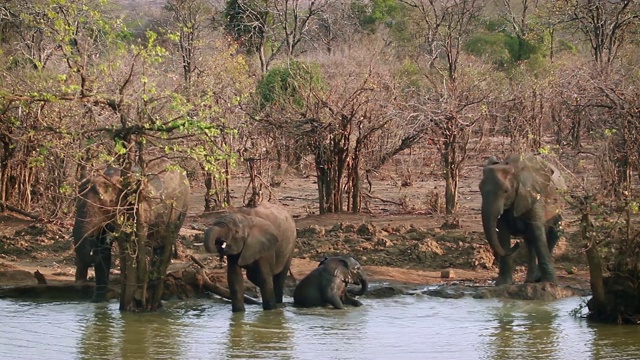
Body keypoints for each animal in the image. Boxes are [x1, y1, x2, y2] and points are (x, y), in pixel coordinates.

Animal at [72, 159, 189, 302]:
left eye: (103, 206)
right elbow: (102, 249)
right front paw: (98, 301)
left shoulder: (138, 209)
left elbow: (134, 243)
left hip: (182, 206)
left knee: (165, 241)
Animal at [480, 153, 564, 286]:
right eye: (480, 190)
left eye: (506, 191)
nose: (517, 244)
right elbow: (502, 233)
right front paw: (503, 284)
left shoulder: (534, 196)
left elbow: (538, 232)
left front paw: (550, 284)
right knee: (530, 241)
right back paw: (530, 280)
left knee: (553, 233)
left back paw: (537, 279)